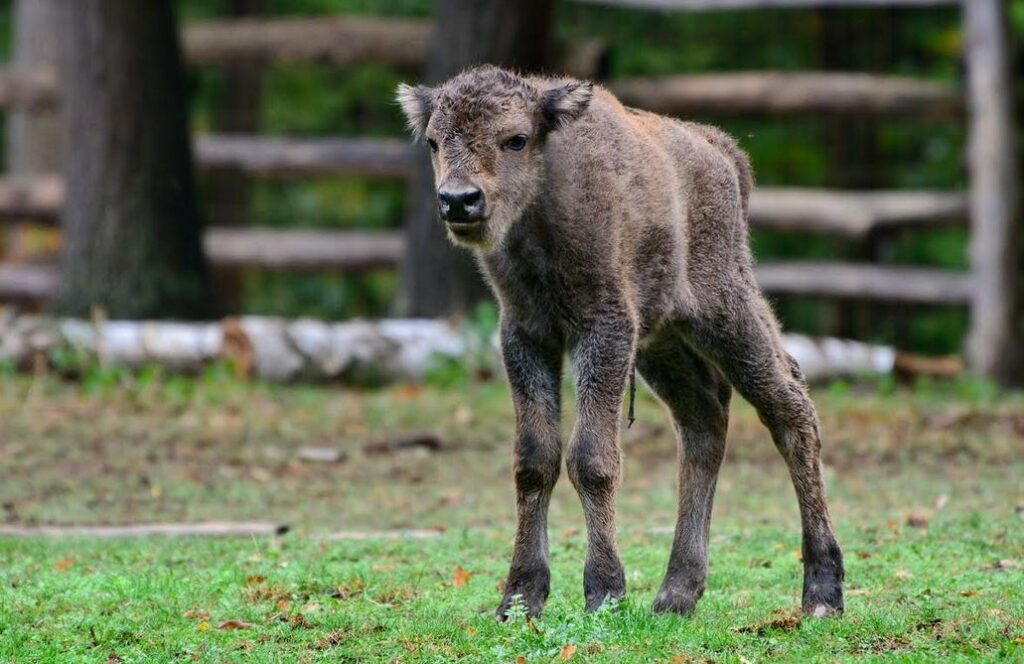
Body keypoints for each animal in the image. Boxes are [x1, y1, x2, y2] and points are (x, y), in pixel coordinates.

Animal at [395, 66, 843, 618]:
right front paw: (520, 597)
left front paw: (604, 590)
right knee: (703, 418)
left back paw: (822, 592)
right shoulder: (526, 333)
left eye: (516, 139)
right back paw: (676, 593)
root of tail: (721, 151)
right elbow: (534, 459)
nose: (459, 200)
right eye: (434, 141)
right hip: (663, 342)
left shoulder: (604, 328)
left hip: (726, 308)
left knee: (789, 407)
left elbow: (591, 457)